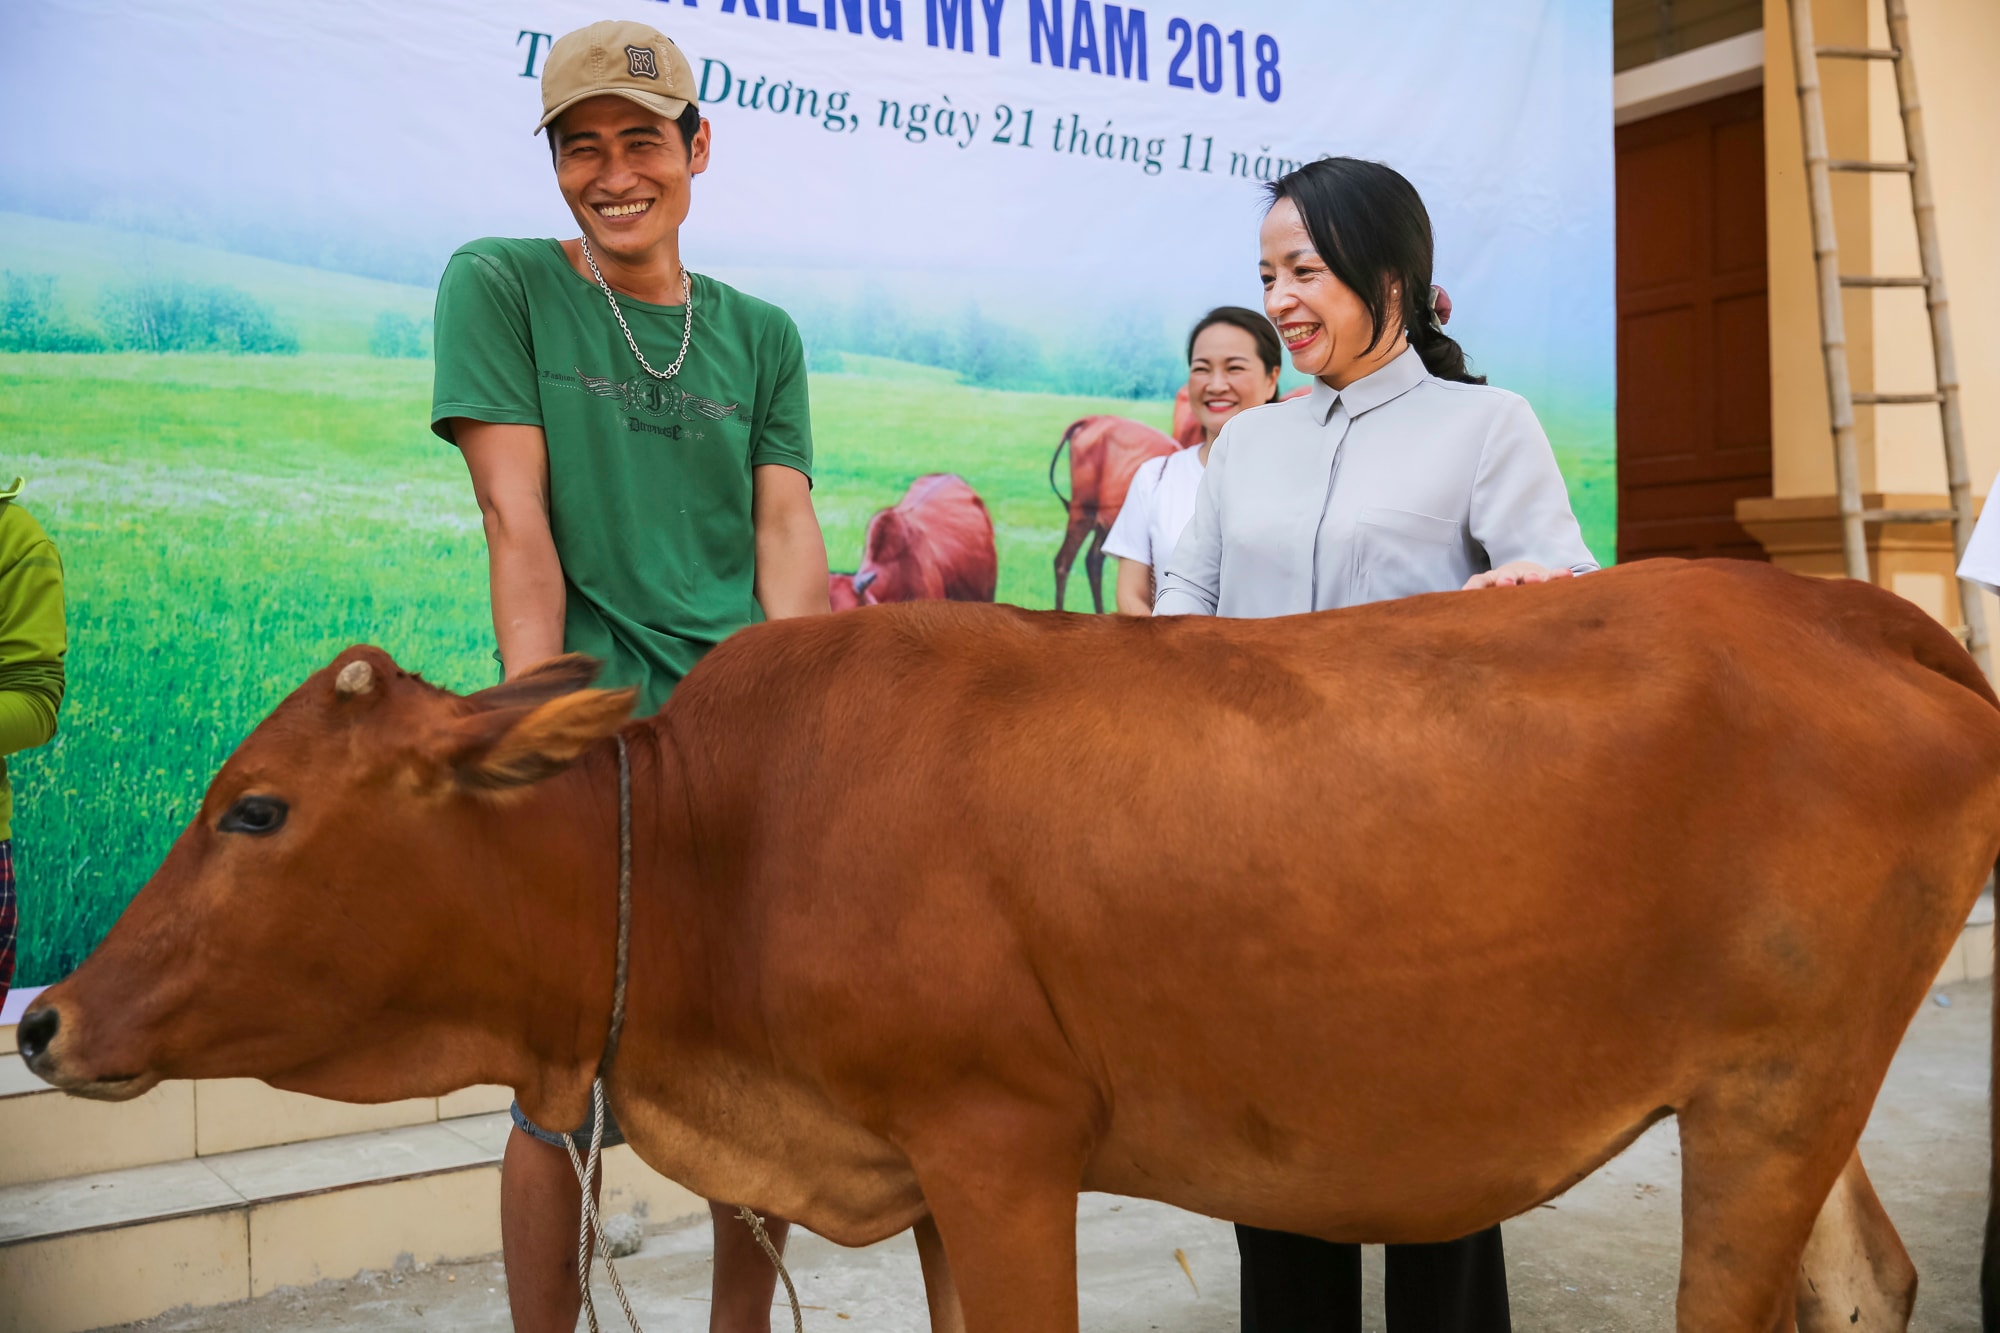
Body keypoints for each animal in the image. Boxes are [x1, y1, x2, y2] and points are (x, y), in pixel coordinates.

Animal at [19, 556, 2000, 1320]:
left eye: (257, 806)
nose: (41, 1019)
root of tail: (1838, 600)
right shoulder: (915, 1168)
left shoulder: (1002, 1139)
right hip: (1777, 1088)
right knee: (1865, 1282)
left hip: (1772, 1088)